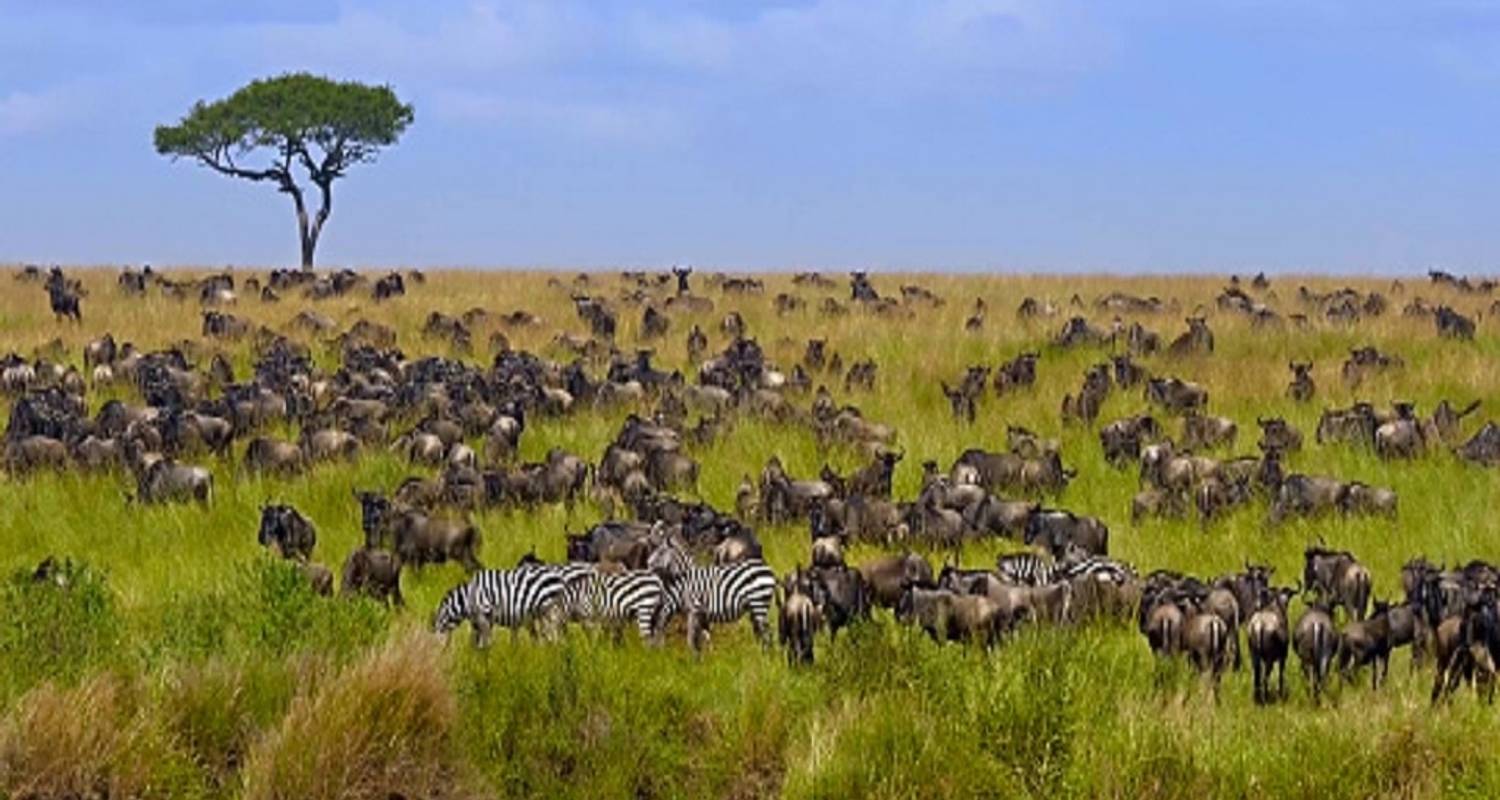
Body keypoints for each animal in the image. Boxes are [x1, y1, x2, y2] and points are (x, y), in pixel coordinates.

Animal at [438, 564, 573, 645]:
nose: (441, 655)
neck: (469, 598)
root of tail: (560, 578)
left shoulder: (485, 612)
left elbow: (485, 641)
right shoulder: (482, 619)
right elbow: (478, 641)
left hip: (550, 610)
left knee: (554, 634)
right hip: (544, 613)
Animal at [645, 537, 774, 648]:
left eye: (660, 552)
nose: (647, 564)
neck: (688, 579)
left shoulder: (697, 611)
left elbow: (695, 638)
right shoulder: (703, 616)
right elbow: (706, 637)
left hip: (758, 604)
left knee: (766, 632)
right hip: (755, 607)